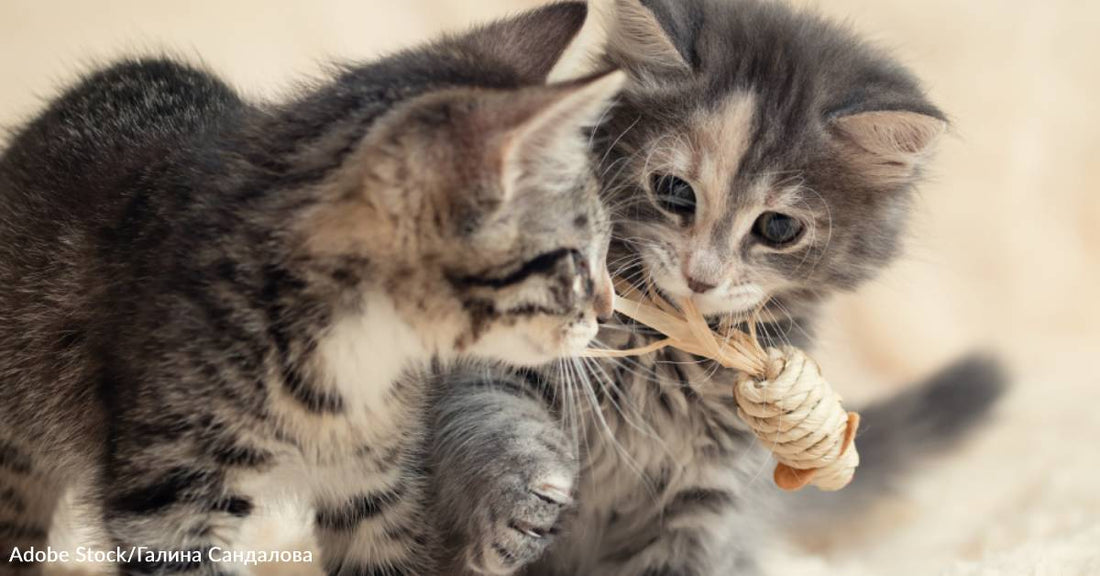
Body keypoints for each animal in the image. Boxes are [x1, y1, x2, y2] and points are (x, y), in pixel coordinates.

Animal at [429, 1, 1007, 576]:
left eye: (778, 228)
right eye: (674, 192)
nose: (700, 278)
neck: (664, 355)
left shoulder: (710, 497)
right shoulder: (493, 356)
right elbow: (502, 420)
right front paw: (519, 509)